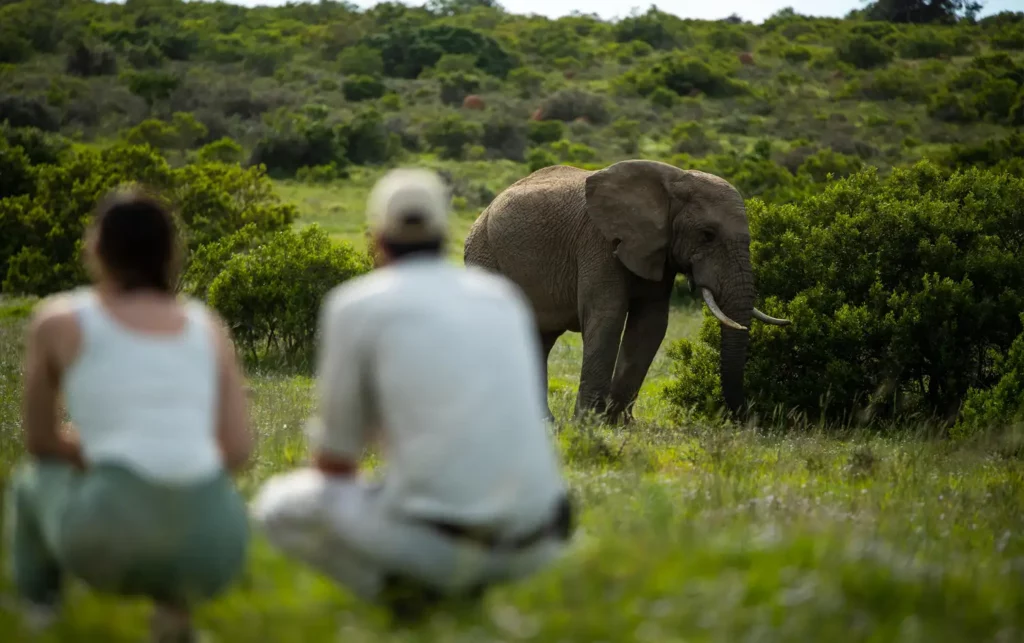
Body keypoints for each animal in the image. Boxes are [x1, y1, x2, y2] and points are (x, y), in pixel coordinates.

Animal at [463, 159, 790, 424]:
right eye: (707, 235)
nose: (748, 418)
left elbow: (650, 325)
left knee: (538, 339)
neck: (673, 180)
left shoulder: (658, 251)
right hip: (484, 253)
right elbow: (607, 316)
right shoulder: (599, 243)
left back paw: (543, 423)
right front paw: (587, 426)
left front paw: (617, 424)